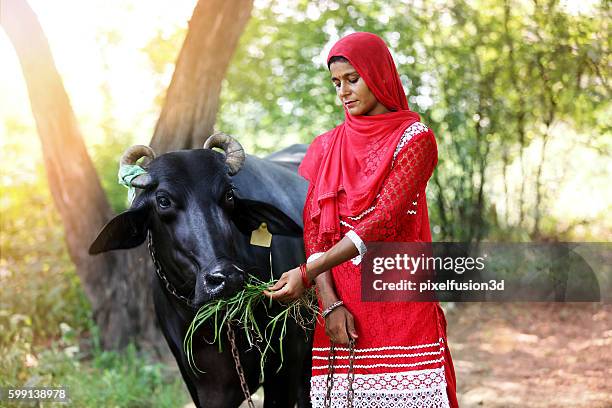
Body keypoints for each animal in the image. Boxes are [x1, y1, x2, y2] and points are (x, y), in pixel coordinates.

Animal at [88, 133, 314, 404]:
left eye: (228, 195)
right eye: (163, 200)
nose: (226, 278)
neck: (218, 327)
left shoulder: (286, 369)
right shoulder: (202, 386)